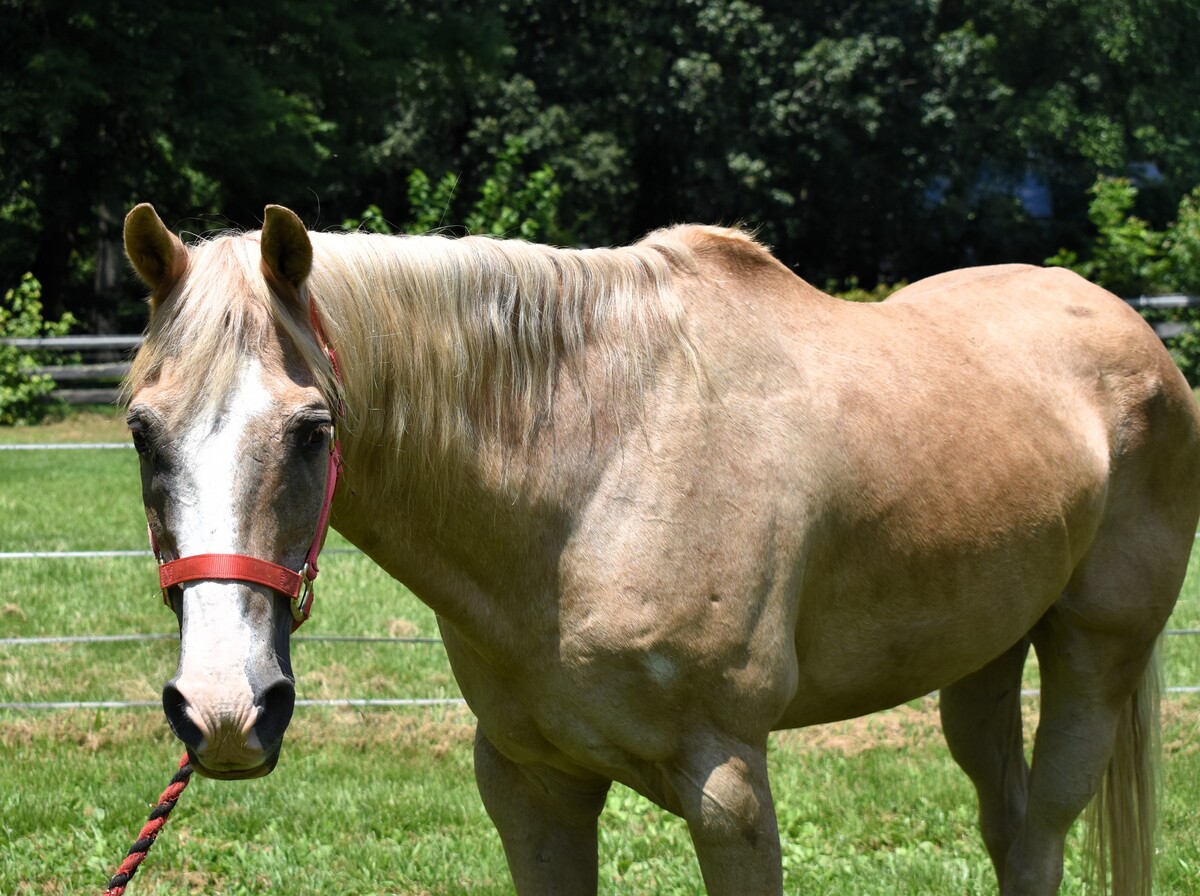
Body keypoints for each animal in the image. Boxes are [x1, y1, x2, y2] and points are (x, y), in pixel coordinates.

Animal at [121, 202, 1200, 895]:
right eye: (140, 429)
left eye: (312, 431)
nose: (225, 710)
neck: (596, 467)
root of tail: (1136, 335)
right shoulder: (531, 784)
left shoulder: (728, 789)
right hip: (980, 661)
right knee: (1008, 823)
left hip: (1095, 654)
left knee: (1043, 829)